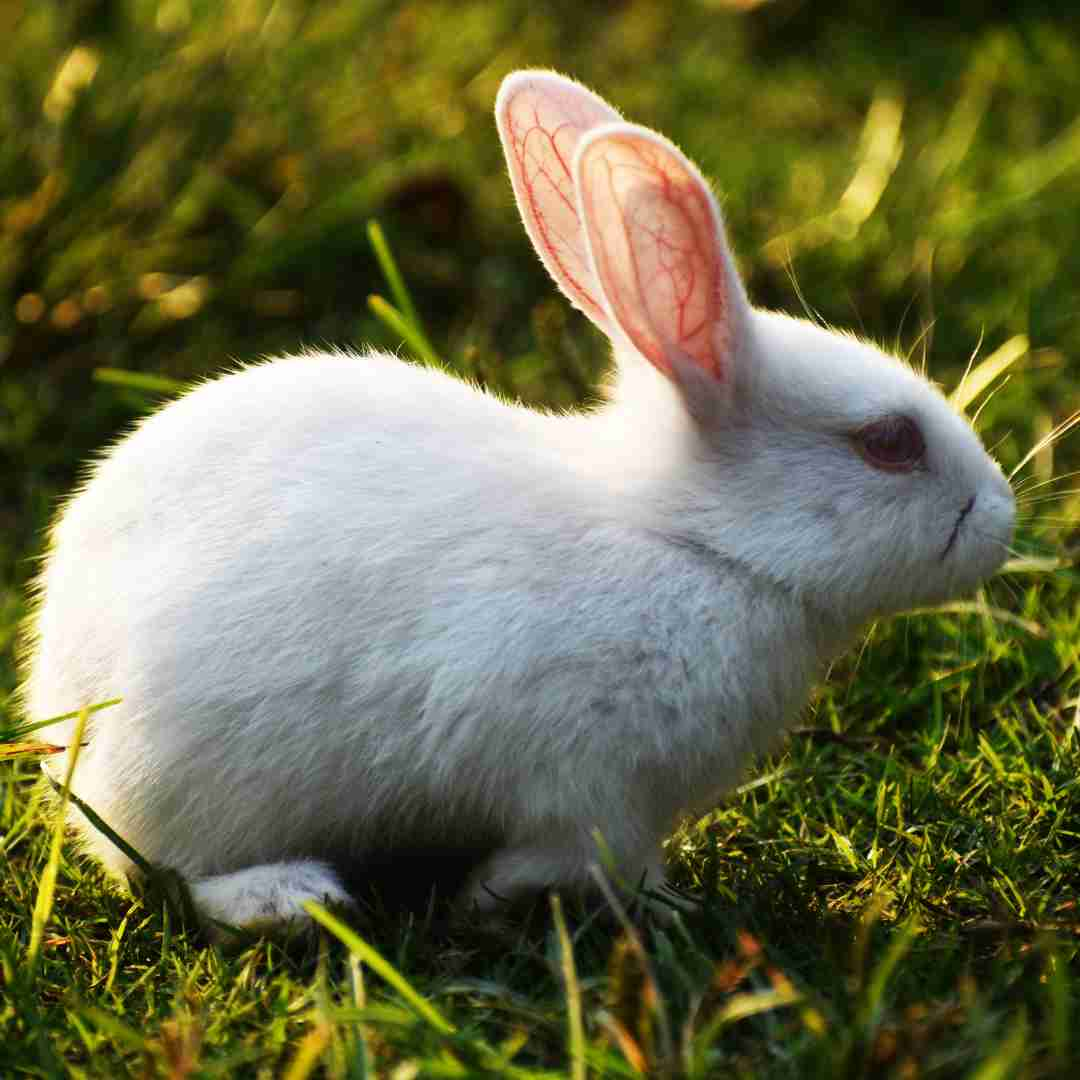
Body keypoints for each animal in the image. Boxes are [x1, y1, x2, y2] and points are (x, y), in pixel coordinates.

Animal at [23, 71, 1010, 937]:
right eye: (889, 442)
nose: (1001, 518)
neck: (693, 542)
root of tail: (55, 691)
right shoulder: (591, 784)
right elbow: (586, 856)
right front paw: (554, 900)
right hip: (186, 778)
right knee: (171, 871)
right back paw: (290, 900)